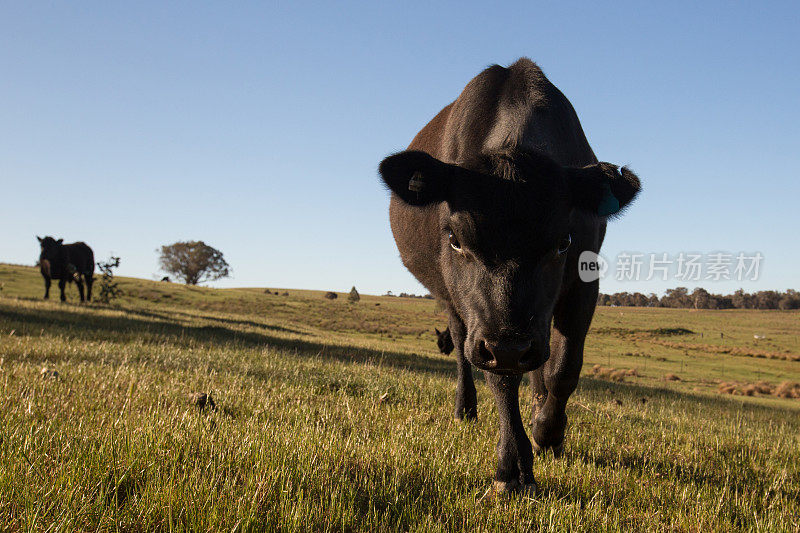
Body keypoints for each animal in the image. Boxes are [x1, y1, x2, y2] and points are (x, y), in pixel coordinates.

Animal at [378, 57, 640, 490]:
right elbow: (500, 378)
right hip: (452, 301)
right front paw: (513, 466)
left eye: (563, 242)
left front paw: (547, 433)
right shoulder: (487, 328)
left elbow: (564, 368)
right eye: (455, 239)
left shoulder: (584, 281)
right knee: (463, 351)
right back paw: (465, 409)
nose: (510, 346)